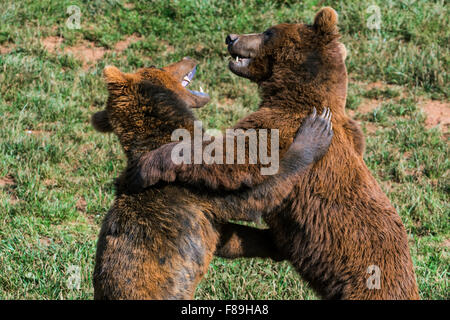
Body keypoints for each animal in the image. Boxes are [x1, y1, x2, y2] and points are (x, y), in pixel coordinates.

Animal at [90, 58, 334, 300]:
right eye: (157, 66)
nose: (188, 58)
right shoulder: (197, 186)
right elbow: (257, 194)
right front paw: (314, 132)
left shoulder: (206, 217)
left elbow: (230, 239)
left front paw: (277, 244)